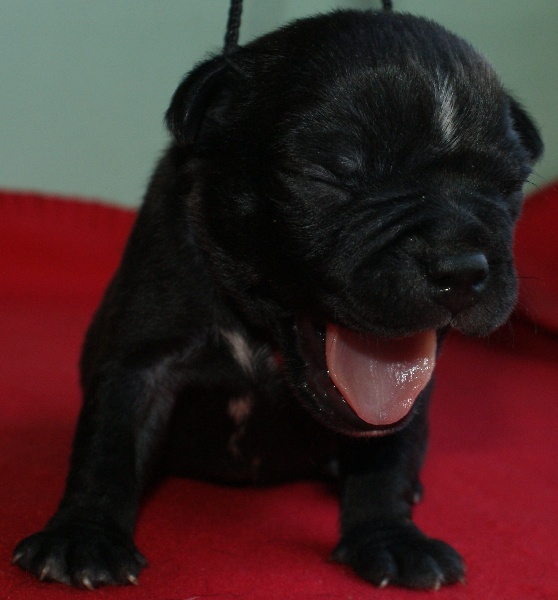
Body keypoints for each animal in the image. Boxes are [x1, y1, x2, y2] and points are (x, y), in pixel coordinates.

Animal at [13, 8, 542, 590]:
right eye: (333, 174)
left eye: (508, 186)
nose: (462, 268)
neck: (260, 331)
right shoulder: (139, 360)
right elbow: (111, 441)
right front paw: (84, 533)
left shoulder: (404, 398)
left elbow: (386, 456)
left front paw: (389, 536)